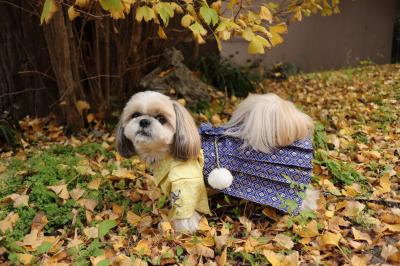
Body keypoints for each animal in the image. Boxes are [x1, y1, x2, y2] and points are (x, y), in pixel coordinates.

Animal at [115, 91, 318, 233]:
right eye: (135, 115)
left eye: (161, 119)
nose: (144, 121)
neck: (169, 150)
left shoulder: (185, 185)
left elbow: (185, 210)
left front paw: (184, 227)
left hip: (288, 185)